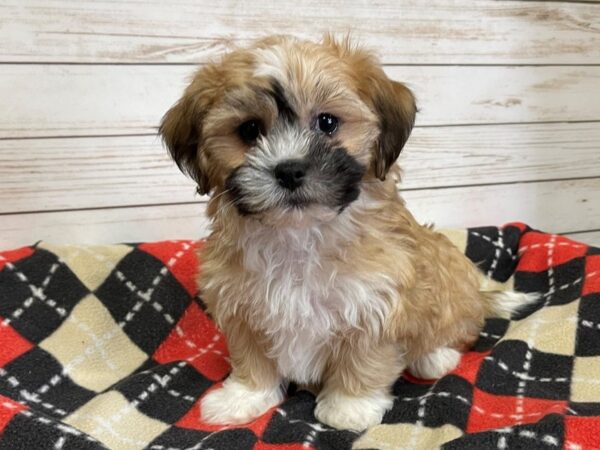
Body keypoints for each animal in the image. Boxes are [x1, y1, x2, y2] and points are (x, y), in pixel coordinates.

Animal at [159, 34, 536, 428]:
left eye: (327, 122)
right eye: (249, 130)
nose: (289, 170)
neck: (300, 234)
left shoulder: (376, 300)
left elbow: (364, 356)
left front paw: (350, 406)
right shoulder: (242, 307)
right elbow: (253, 357)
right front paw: (245, 396)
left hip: (451, 289)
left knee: (456, 328)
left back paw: (435, 356)